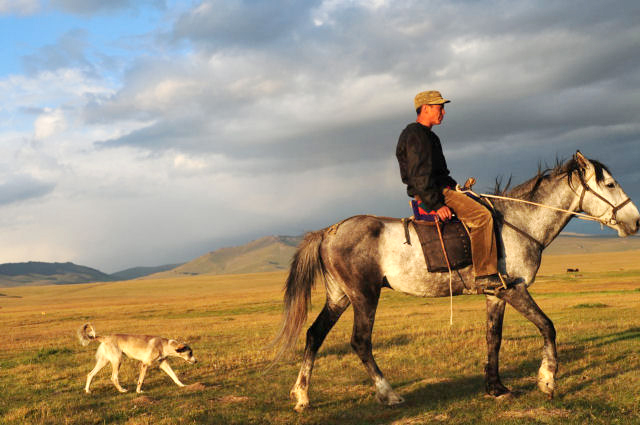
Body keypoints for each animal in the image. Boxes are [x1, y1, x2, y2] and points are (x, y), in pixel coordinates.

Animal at [272, 151, 636, 410]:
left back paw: (301, 396)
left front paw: (496, 388)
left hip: (340, 297)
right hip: (364, 296)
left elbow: (493, 338)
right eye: (610, 184)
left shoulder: (495, 293)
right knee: (360, 341)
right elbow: (547, 326)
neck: (520, 222)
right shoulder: (515, 288)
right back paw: (388, 394)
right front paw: (547, 381)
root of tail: (328, 231)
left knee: (314, 334)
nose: (636, 221)